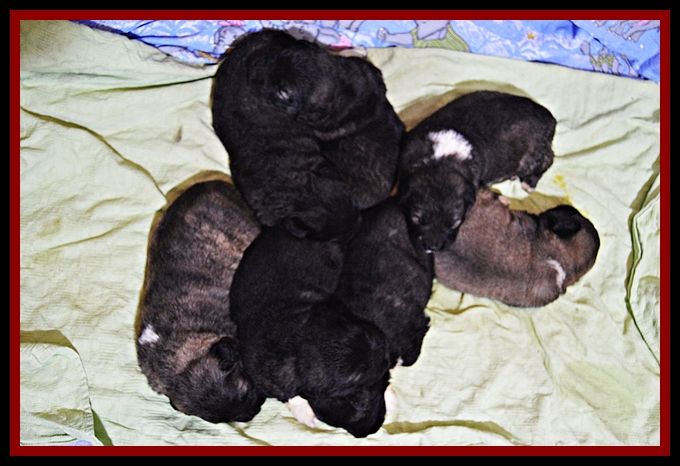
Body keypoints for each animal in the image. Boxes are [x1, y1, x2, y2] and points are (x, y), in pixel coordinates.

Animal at [229, 226, 392, 437]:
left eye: (364, 330)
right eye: (356, 377)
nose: (387, 356)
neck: (297, 334)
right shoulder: (269, 376)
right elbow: (289, 394)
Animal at [399, 90, 557, 252]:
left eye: (456, 222)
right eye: (416, 219)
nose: (434, 247)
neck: (440, 161)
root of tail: (550, 118)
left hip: (533, 155)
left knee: (547, 161)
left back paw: (529, 183)